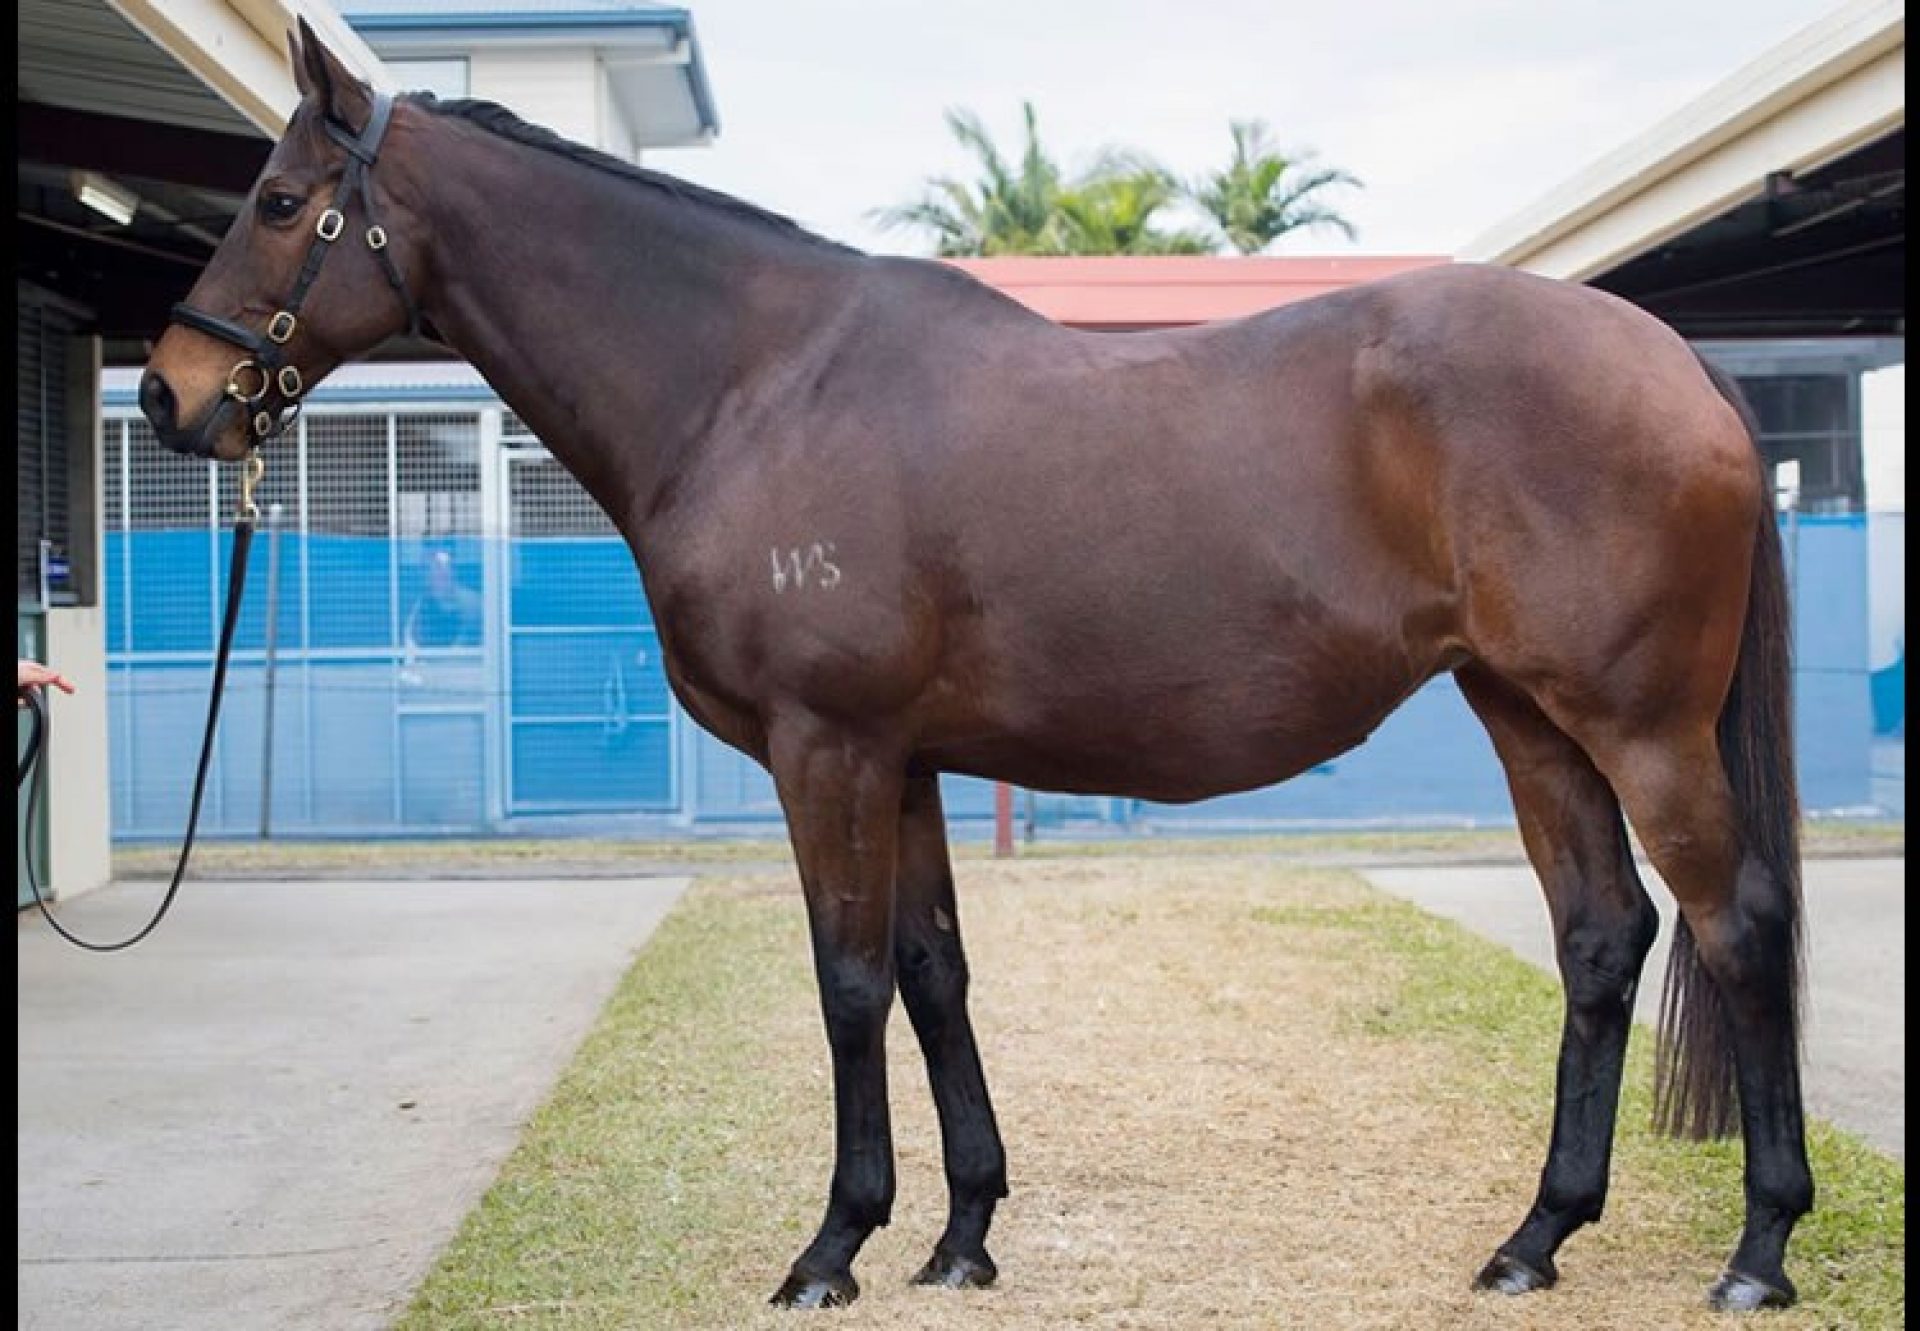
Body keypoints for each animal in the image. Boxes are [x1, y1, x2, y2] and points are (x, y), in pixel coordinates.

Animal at [139, 19, 1812, 1313]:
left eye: (279, 200)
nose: (170, 394)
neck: (754, 384)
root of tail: (1673, 357)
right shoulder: (907, 759)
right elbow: (935, 970)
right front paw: (959, 1236)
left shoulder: (827, 749)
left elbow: (848, 977)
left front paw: (832, 1245)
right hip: (1527, 712)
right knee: (1603, 935)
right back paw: (1535, 1237)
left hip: (1642, 726)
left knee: (1735, 924)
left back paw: (1757, 1249)